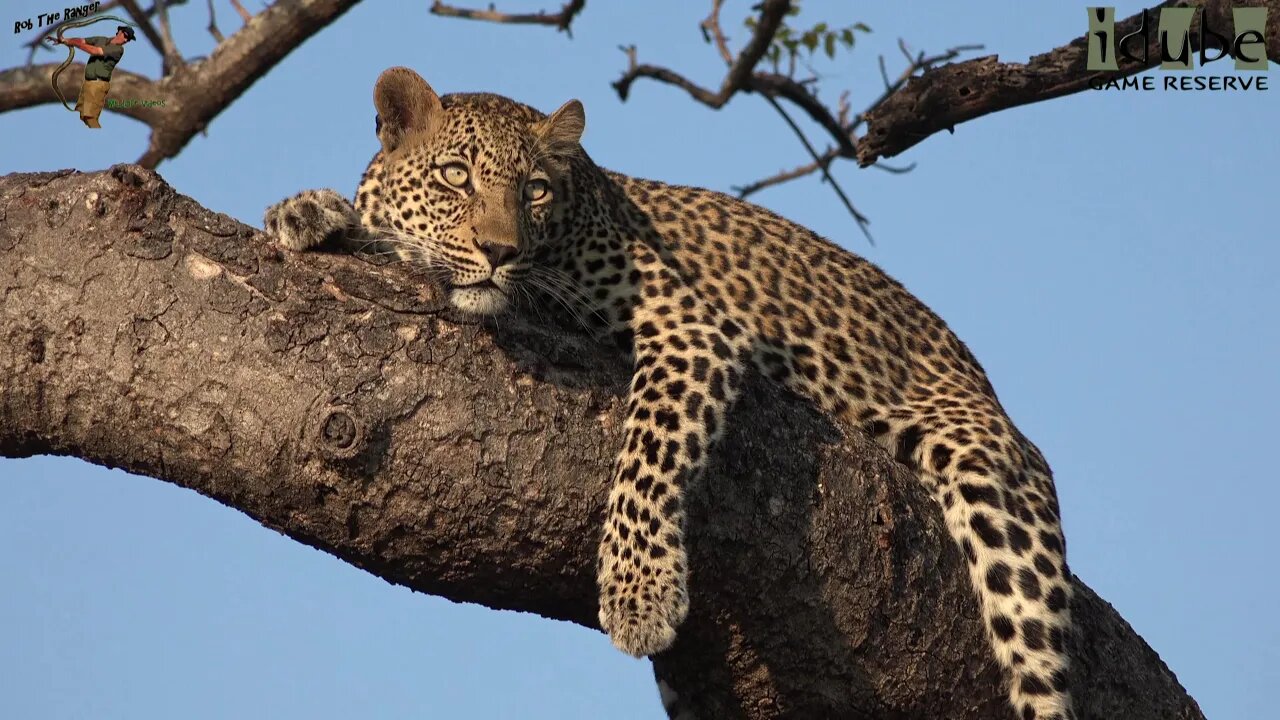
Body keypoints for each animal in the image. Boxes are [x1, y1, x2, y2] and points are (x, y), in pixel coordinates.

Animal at [264, 67, 1075, 717]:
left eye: (533, 191)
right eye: (455, 177)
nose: (500, 251)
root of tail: (983, 382)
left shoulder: (689, 325)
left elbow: (649, 451)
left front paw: (638, 593)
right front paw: (308, 212)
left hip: (990, 473)